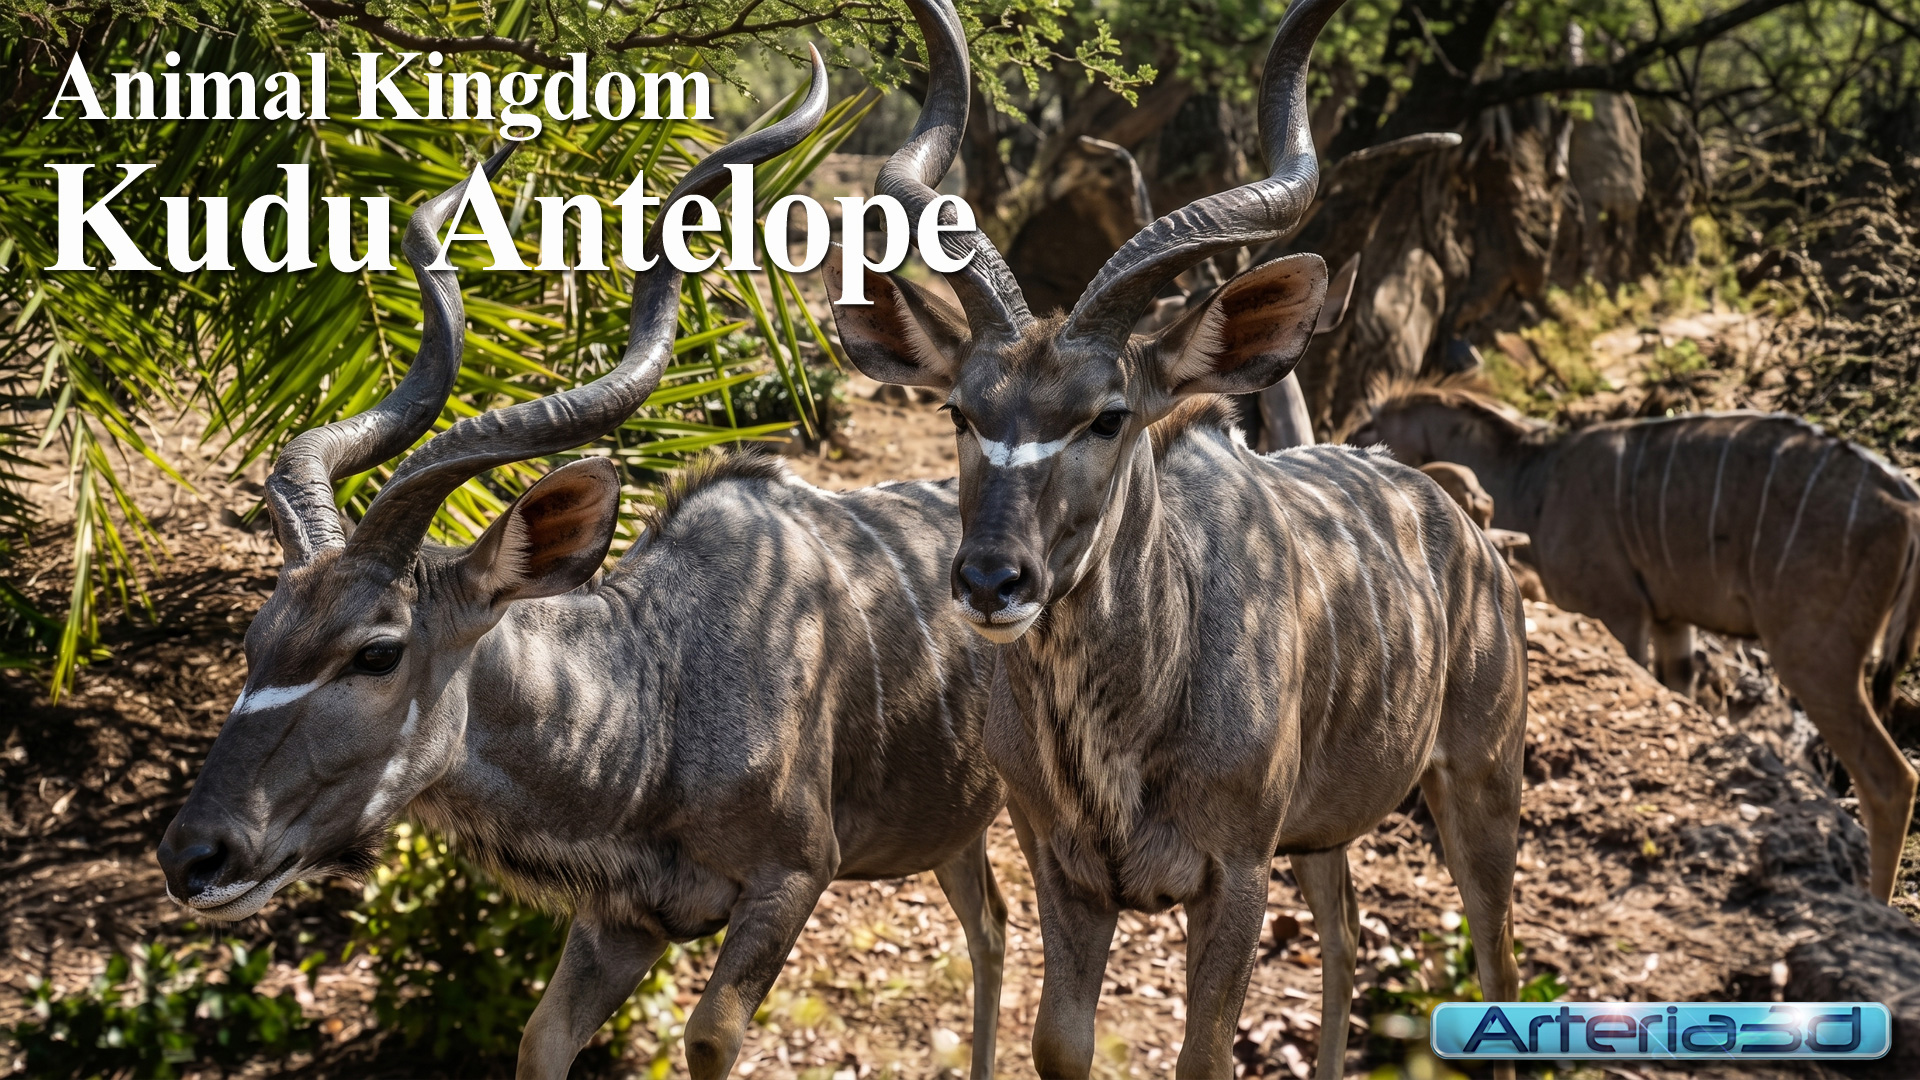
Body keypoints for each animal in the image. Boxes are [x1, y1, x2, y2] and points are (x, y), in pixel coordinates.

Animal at [155, 54, 1014, 1080]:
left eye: (377, 651)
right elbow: (541, 1038)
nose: (193, 856)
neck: (661, 698)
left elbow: (710, 1038)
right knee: (993, 925)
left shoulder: (795, 877)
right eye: (255, 640)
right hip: (958, 821)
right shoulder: (621, 922)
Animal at [827, 0, 1528, 1076]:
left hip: (1482, 785)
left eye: (1109, 415)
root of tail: (1469, 535)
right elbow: (1060, 1043)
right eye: (959, 410)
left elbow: (1205, 1053)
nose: (991, 580)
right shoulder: (1063, 870)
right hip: (1325, 832)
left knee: (1498, 963)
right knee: (1344, 930)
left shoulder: (1234, 873)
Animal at [1353, 384, 1920, 901]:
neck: (1539, 480)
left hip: (1814, 655)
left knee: (1891, 778)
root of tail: (1904, 501)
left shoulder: (1619, 610)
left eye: (1369, 428)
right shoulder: (1671, 623)